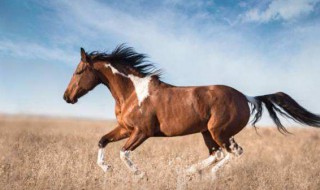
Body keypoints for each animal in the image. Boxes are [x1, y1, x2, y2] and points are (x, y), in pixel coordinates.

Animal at [63, 44, 320, 177]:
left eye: (78, 71)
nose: (67, 97)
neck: (133, 92)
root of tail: (246, 97)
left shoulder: (142, 132)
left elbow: (123, 153)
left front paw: (140, 175)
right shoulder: (125, 128)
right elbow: (102, 141)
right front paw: (105, 168)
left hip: (220, 132)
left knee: (232, 152)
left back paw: (208, 175)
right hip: (208, 132)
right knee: (218, 154)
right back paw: (189, 171)